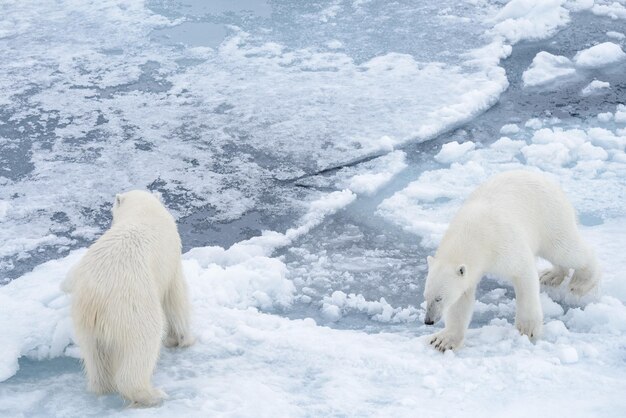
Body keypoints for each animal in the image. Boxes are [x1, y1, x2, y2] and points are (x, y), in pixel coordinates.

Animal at [62, 191, 193, 406]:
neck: (143, 211)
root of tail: (96, 297)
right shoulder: (172, 258)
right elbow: (175, 297)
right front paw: (182, 340)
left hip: (83, 319)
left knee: (95, 357)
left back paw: (103, 387)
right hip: (132, 307)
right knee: (143, 344)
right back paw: (152, 394)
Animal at [422, 171, 596, 352]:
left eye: (439, 298)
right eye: (426, 296)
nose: (428, 320)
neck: (472, 233)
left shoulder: (502, 242)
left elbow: (523, 272)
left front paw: (528, 328)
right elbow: (461, 299)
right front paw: (442, 340)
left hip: (551, 216)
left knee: (565, 249)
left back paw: (582, 281)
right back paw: (551, 275)